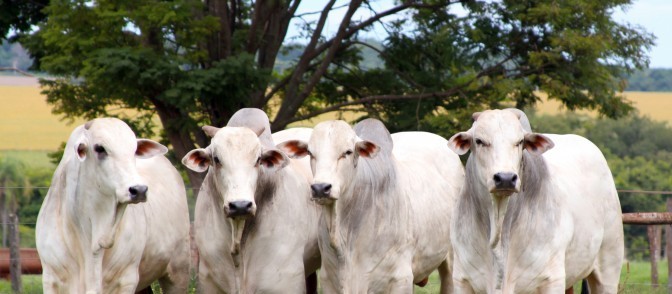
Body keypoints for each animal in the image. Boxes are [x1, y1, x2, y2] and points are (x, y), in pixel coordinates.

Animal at [36, 118, 190, 294]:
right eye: (100, 148)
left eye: (134, 150)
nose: (139, 190)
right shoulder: (51, 279)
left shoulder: (127, 280)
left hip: (178, 271)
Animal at [276, 118, 462, 292]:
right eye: (310, 152)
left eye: (348, 152)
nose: (320, 188)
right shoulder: (329, 279)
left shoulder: (400, 279)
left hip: (452, 262)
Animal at [446, 109, 624, 294]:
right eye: (479, 141)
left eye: (519, 142)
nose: (505, 178)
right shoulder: (461, 280)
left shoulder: (552, 279)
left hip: (609, 265)